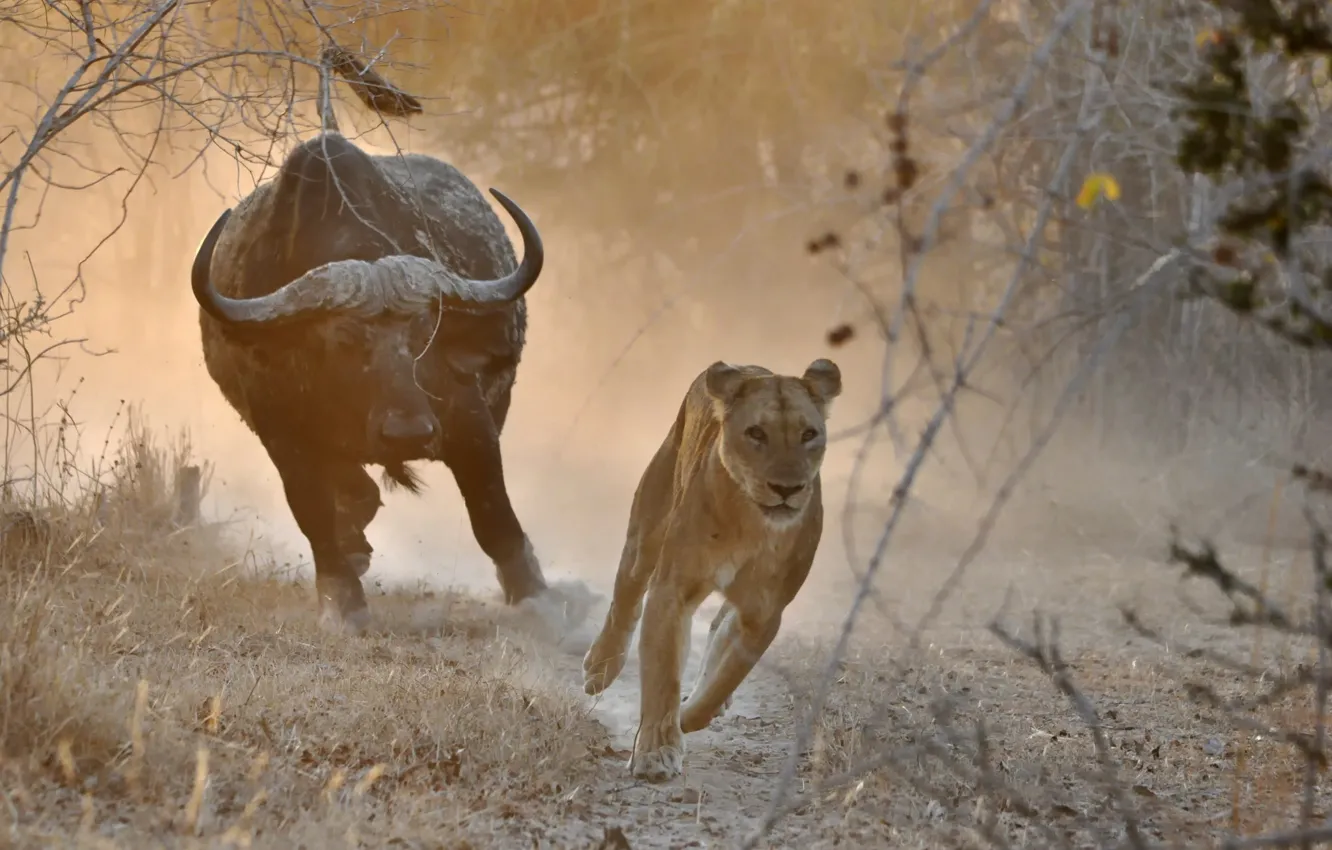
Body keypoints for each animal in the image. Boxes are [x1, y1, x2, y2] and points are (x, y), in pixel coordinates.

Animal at [188, 51, 551, 634]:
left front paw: (535, 595)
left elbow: (491, 511)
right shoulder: (280, 429)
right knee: (351, 492)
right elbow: (314, 512)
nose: (408, 432)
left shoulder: (466, 414)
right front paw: (343, 600)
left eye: (424, 332)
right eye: (342, 339)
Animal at [582, 357, 842, 781]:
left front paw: (689, 716)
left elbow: (728, 674)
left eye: (809, 434)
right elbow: (663, 674)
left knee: (717, 632)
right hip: (647, 529)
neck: (751, 520)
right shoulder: (672, 589)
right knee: (626, 596)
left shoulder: (763, 612)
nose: (787, 488)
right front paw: (656, 752)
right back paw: (600, 667)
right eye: (756, 433)